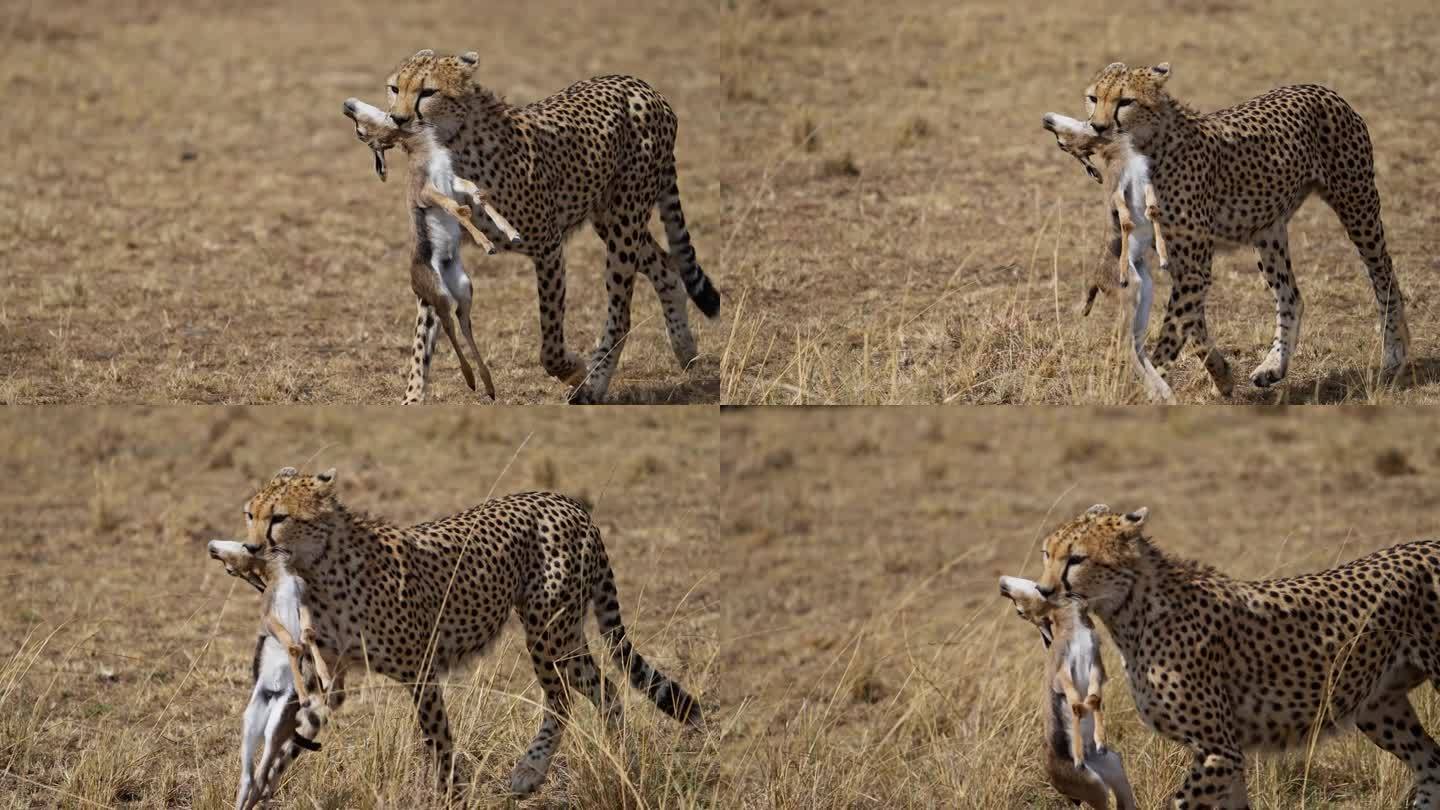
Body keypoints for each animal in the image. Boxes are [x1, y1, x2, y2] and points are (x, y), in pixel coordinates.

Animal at [241, 466, 702, 795]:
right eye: (250, 514)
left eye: (279, 517)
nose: (250, 547)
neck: (318, 567)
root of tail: (566, 501)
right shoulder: (329, 675)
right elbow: (294, 732)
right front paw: (262, 783)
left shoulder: (421, 670)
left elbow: (438, 738)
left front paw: (451, 793)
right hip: (565, 633)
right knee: (603, 687)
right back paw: (623, 762)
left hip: (548, 629)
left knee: (563, 697)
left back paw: (531, 771)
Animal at [380, 49, 720, 400]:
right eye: (395, 88)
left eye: (428, 92)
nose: (397, 119)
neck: (451, 144)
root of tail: (640, 85)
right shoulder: (435, 253)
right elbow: (423, 337)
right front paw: (412, 397)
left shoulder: (549, 246)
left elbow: (551, 344)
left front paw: (574, 371)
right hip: (610, 218)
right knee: (666, 267)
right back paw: (684, 349)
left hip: (625, 220)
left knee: (622, 314)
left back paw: (594, 386)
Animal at [1036, 501, 1440, 801]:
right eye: (1046, 553)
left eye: (1076, 558)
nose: (1043, 590)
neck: (1132, 610)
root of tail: (1426, 544)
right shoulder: (1228, 754)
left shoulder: (1220, 750)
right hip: (1378, 706)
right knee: (1431, 762)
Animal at [1082, 61, 1405, 392]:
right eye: (1094, 98)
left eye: (1126, 101)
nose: (1097, 127)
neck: (1148, 147)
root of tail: (1320, 89)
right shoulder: (1181, 265)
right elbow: (1193, 328)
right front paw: (1222, 376)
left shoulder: (1193, 267)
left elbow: (1173, 333)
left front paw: (1149, 388)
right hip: (1267, 232)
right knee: (1291, 296)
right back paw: (1273, 366)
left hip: (1358, 207)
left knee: (1384, 274)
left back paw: (1394, 352)